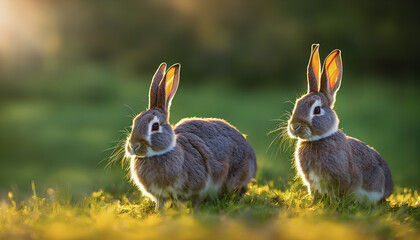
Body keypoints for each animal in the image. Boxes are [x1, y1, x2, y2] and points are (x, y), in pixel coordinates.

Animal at [125, 62, 256, 209]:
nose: (133, 146)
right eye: (135, 122)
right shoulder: (160, 195)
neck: (159, 154)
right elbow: (160, 203)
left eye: (155, 126)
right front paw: (158, 211)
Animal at [288, 44, 392, 202]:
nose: (295, 126)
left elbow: (341, 191)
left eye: (317, 110)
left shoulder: (342, 179)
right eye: (297, 103)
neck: (318, 140)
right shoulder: (311, 183)